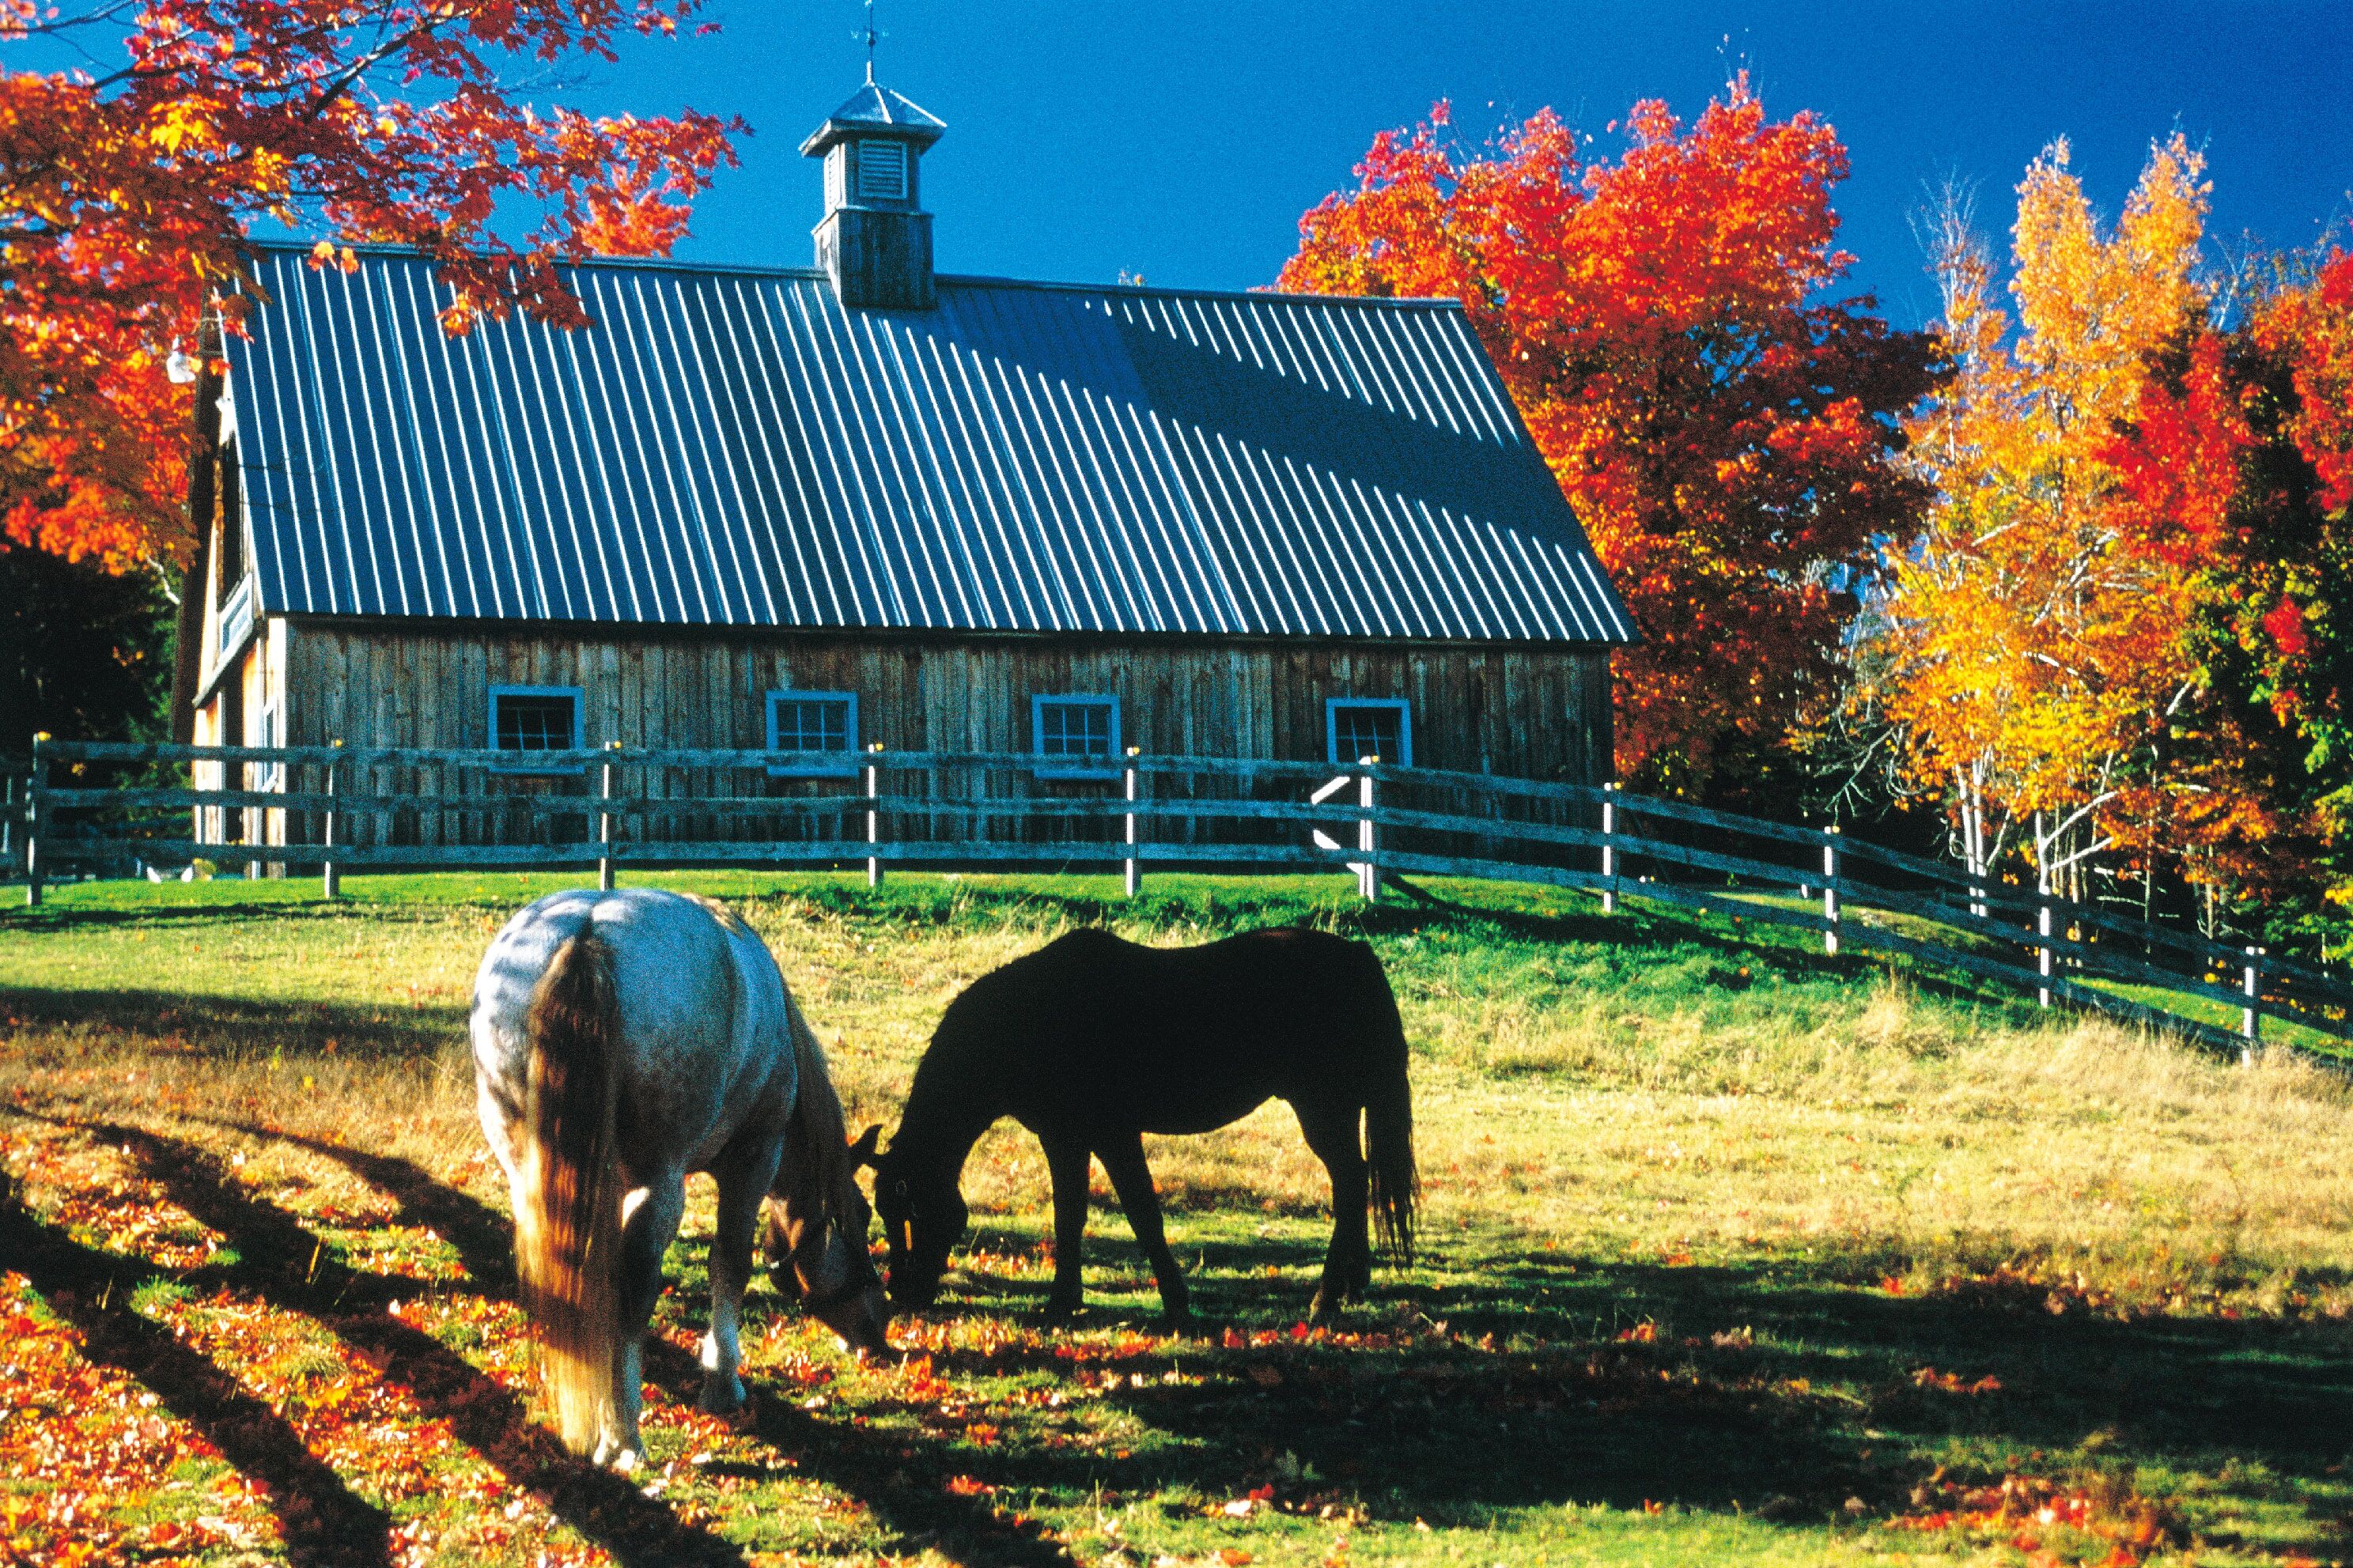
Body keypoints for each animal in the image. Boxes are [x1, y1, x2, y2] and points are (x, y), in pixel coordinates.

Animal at [471, 893, 889, 1476]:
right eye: (863, 1218)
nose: (878, 1327)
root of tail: (588, 933)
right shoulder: (753, 1159)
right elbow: (730, 1264)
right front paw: (722, 1380)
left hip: (526, 1172)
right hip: (661, 1183)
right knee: (634, 1289)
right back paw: (624, 1436)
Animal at [861, 926, 1412, 1335]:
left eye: (912, 1209)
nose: (901, 1294)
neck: (1032, 1020)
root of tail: (1358, 956)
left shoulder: (1112, 1135)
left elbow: (1141, 1214)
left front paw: (1173, 1305)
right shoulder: (1063, 1138)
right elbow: (1070, 1216)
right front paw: (1064, 1301)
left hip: (1323, 1110)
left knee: (1349, 1184)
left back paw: (1324, 1301)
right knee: (1355, 1182)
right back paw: (1352, 1285)